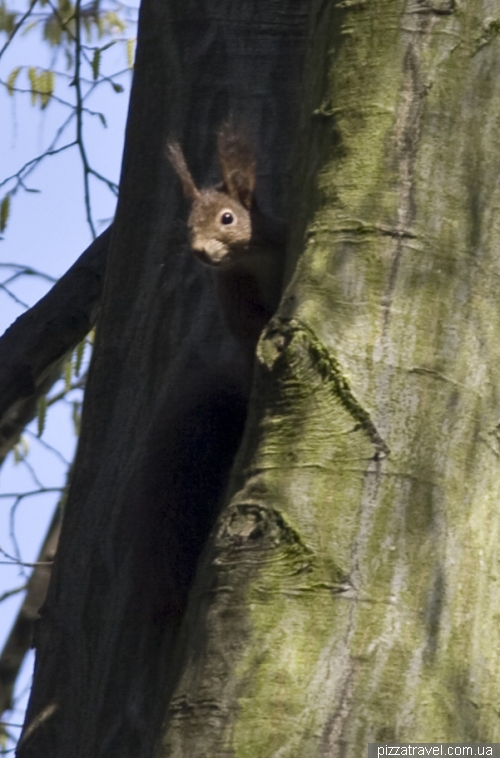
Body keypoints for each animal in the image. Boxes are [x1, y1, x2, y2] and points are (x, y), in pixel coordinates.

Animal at [167, 125, 286, 360]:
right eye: (189, 226)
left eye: (227, 218)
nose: (198, 250)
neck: (251, 258)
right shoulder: (231, 286)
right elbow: (245, 324)